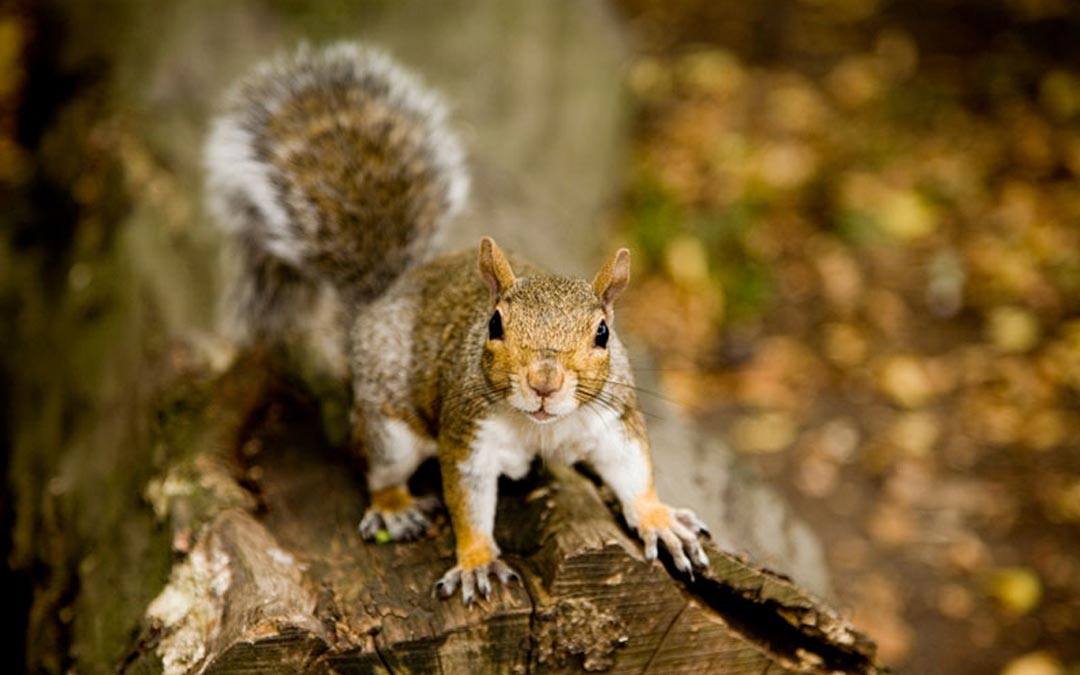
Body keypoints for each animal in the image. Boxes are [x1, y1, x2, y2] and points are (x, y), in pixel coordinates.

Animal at [205, 42, 711, 604]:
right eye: (494, 326)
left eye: (602, 333)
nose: (544, 383)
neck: (540, 428)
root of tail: (384, 297)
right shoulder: (468, 436)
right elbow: (467, 503)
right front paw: (475, 561)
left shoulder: (611, 420)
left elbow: (633, 471)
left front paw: (661, 520)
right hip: (389, 424)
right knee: (378, 466)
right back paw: (394, 508)